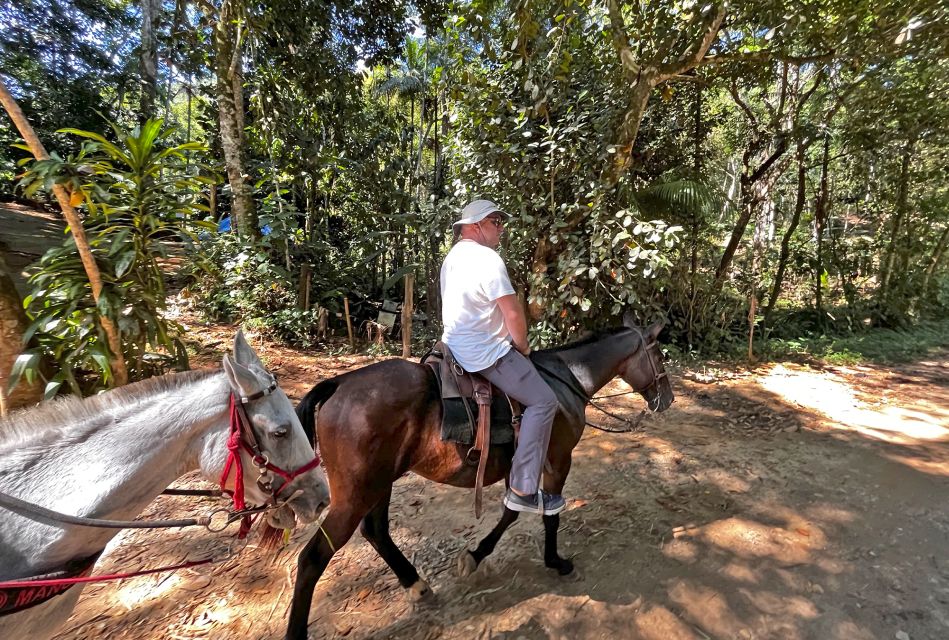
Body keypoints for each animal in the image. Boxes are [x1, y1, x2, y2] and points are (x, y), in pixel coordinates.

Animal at [284, 318, 672, 636]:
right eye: (659, 355)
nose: (667, 399)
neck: (568, 379)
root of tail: (338, 383)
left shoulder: (525, 464)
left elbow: (512, 512)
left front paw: (475, 554)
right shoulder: (559, 460)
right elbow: (549, 515)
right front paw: (556, 561)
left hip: (379, 483)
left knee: (376, 531)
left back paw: (417, 585)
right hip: (355, 494)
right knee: (313, 558)